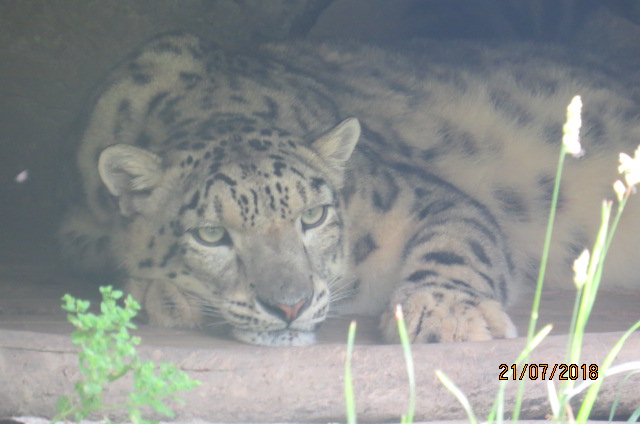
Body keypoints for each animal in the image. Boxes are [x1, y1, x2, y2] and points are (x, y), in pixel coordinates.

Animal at [59, 33, 640, 346]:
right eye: (210, 234)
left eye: (313, 216)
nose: (289, 306)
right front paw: (169, 293)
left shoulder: (417, 195)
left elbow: (460, 238)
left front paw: (448, 315)